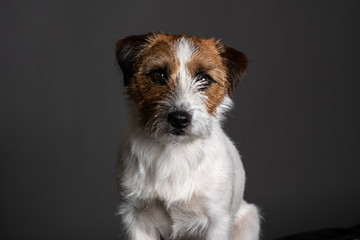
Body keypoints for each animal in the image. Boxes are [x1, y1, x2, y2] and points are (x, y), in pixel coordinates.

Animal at [114, 32, 258, 240]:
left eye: (204, 79)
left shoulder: (217, 220)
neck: (175, 151)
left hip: (249, 219)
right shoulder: (136, 216)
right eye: (158, 74)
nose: (179, 119)